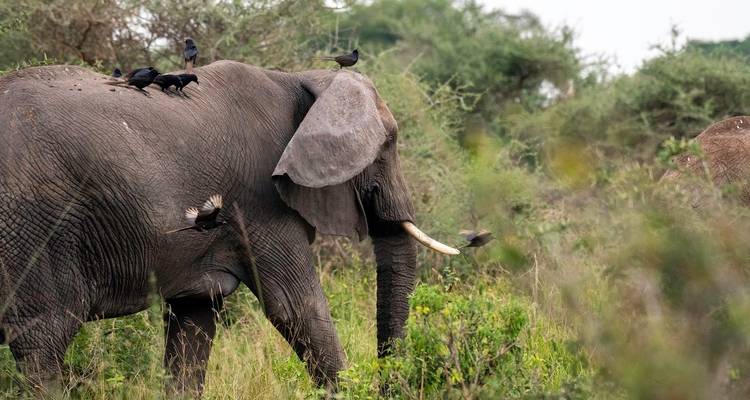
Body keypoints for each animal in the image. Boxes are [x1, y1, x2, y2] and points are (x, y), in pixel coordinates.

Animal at [0, 61, 460, 395]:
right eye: (388, 146)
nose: (389, 385)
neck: (301, 78)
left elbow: (194, 322)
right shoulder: (260, 203)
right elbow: (297, 308)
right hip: (33, 228)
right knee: (42, 341)